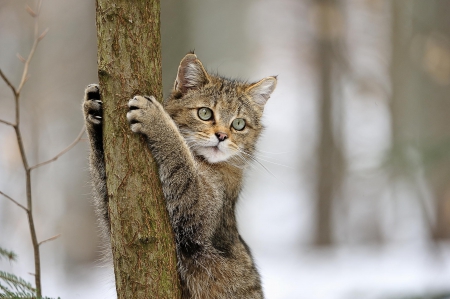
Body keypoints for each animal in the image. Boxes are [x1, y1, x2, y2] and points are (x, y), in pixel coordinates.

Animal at [82, 52, 276, 298]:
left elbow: (180, 157)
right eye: (205, 113)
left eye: (239, 124)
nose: (222, 136)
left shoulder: (195, 214)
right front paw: (92, 112)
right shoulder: (116, 221)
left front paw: (157, 120)